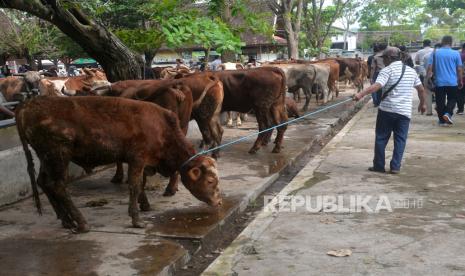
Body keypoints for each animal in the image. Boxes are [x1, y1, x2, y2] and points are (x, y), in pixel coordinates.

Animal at [16, 96, 221, 233]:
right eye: (210, 181)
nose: (219, 202)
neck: (161, 127)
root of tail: (27, 105)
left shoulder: (140, 162)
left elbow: (141, 184)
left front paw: (145, 205)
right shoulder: (137, 159)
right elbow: (135, 186)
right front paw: (137, 220)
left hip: (46, 158)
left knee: (44, 182)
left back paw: (66, 221)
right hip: (58, 156)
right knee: (58, 186)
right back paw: (81, 223)